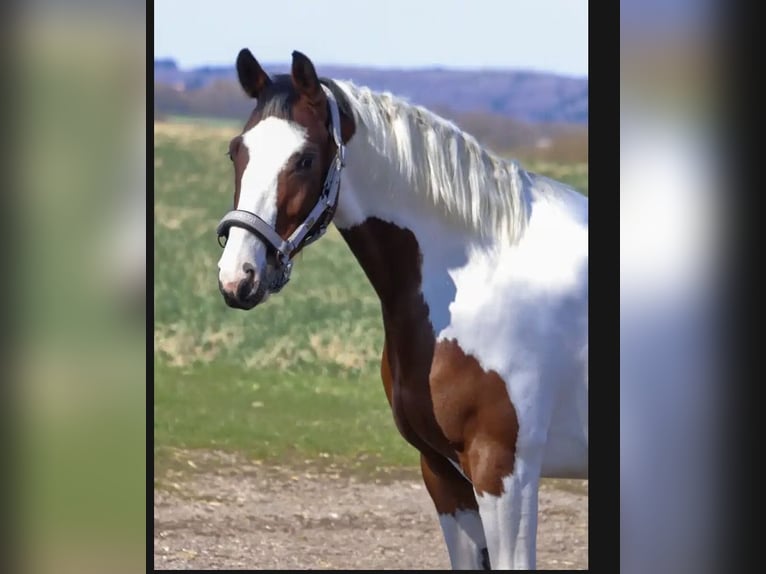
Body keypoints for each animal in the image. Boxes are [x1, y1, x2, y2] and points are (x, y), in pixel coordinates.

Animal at [215, 49, 588, 570]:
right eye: (237, 152)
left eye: (305, 158)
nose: (239, 277)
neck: (485, 278)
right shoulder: (443, 474)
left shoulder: (504, 474)